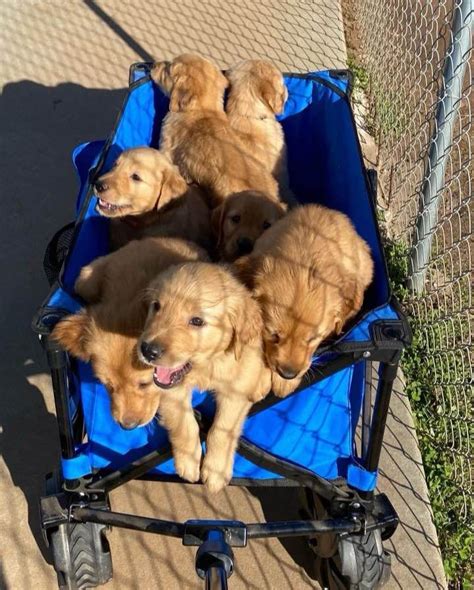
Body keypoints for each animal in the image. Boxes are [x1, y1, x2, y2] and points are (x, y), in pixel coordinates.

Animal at [138, 264, 270, 494]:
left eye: (197, 321)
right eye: (157, 306)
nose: (148, 350)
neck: (205, 366)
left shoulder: (234, 391)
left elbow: (222, 429)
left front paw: (216, 471)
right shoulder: (171, 388)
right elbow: (184, 423)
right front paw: (189, 462)